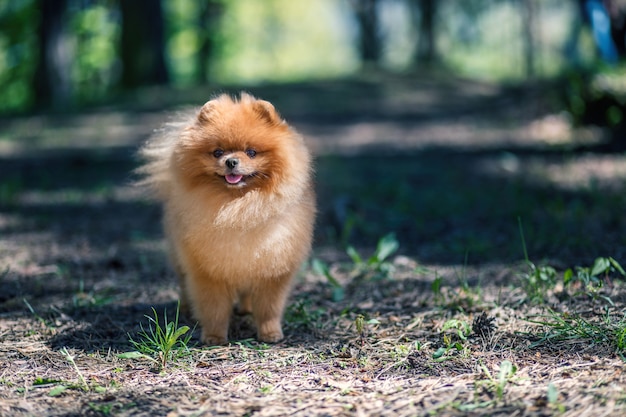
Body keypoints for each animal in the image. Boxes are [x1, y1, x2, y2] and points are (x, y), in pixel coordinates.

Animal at [136, 93, 312, 344]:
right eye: (218, 152)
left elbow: (269, 308)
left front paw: (270, 333)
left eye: (251, 152)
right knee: (183, 284)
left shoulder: (273, 271)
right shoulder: (208, 272)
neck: (237, 208)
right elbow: (214, 308)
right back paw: (187, 309)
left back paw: (246, 309)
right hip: (179, 258)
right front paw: (214, 336)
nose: (231, 161)